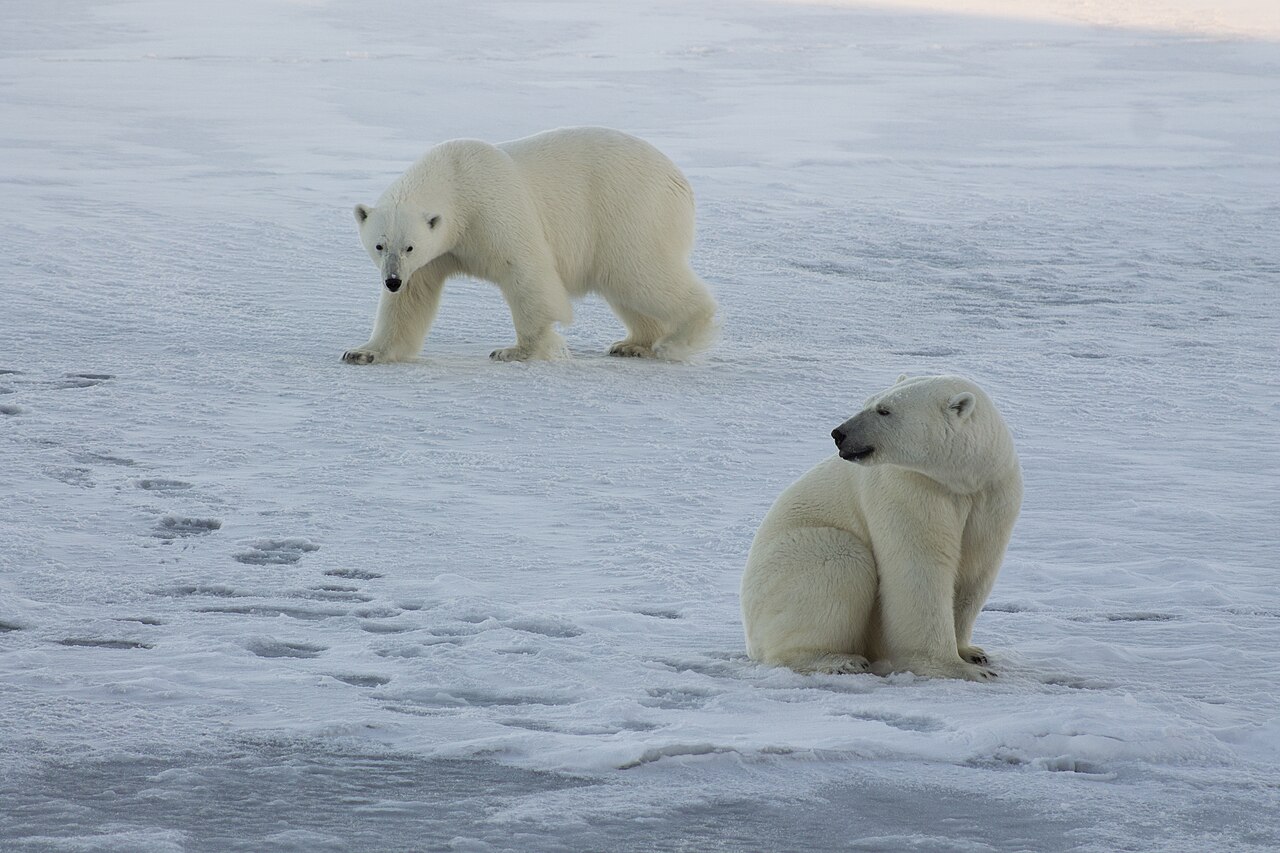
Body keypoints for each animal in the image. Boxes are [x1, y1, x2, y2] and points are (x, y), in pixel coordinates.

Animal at [340, 126, 721, 361]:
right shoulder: (436, 254)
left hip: (630, 210)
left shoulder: (493, 208)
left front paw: (514, 351)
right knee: (625, 286)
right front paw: (362, 352)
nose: (392, 280)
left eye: (410, 247)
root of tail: (680, 181)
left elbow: (526, 272)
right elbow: (410, 301)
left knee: (641, 274)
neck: (455, 179)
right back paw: (633, 344)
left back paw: (678, 338)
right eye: (379, 246)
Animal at [742, 376, 1018, 681]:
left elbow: (975, 568)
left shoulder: (991, 495)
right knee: (840, 561)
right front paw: (959, 668)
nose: (839, 433)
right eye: (868, 402)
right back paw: (839, 660)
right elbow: (921, 568)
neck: (961, 480)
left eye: (884, 410)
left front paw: (972, 653)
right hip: (788, 565)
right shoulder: (909, 489)